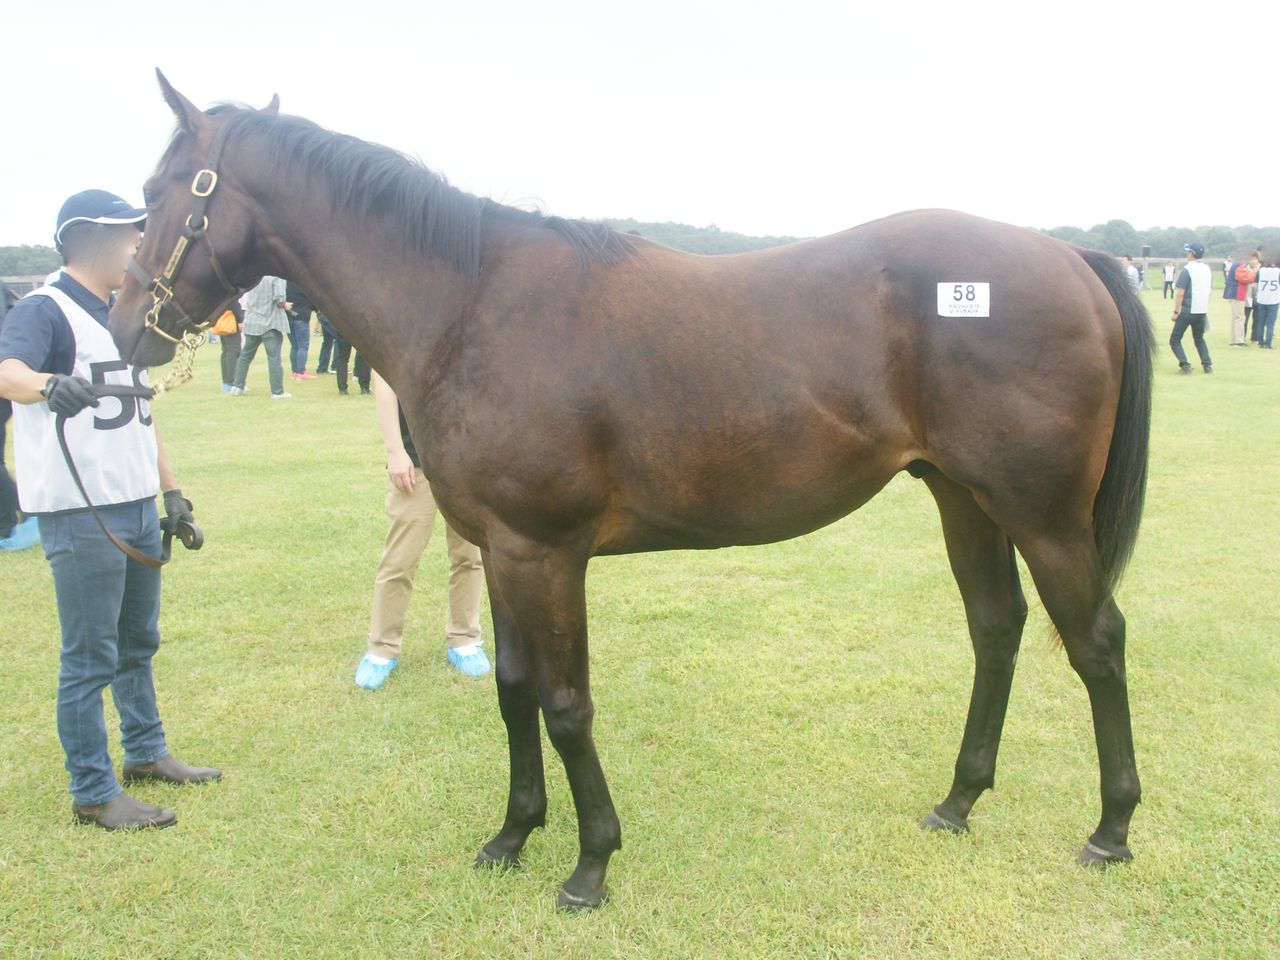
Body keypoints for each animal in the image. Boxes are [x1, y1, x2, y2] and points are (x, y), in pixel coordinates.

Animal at [111, 72, 1154, 910]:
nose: (125, 328)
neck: (471, 304)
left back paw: (1111, 828)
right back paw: (959, 801)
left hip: (1042, 516)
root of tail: (1069, 257)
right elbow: (514, 690)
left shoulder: (546, 552)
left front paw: (589, 866)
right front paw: (512, 836)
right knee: (997, 628)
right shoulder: (500, 547)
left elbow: (567, 704)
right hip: (963, 498)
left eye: (157, 193)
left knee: (1097, 642)